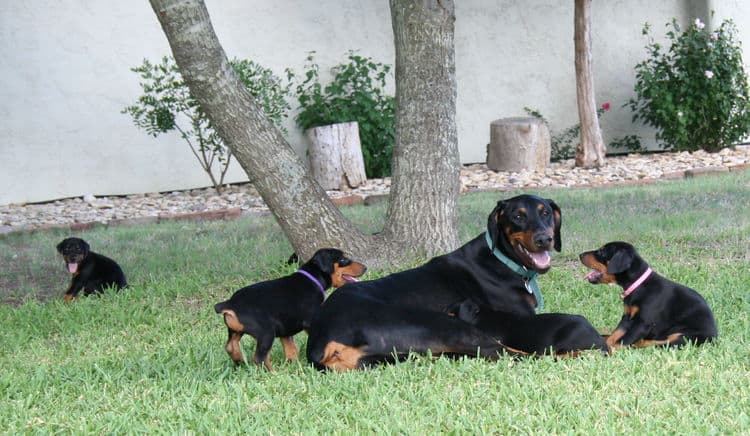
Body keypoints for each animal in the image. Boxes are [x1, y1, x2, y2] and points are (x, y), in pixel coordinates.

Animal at [214, 250, 368, 370]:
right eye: (343, 259)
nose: (365, 267)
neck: (312, 279)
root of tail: (230, 303)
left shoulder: (285, 330)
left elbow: (291, 350)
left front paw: (293, 365)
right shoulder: (310, 321)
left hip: (235, 330)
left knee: (231, 346)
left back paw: (239, 361)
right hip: (266, 332)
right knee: (260, 357)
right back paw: (272, 373)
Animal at [306, 196, 564, 370]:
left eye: (545, 213)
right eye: (517, 216)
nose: (545, 239)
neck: (502, 258)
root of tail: (323, 338)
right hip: (442, 326)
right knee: (508, 352)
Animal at [580, 240, 720, 350]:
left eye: (602, 252)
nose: (580, 255)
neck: (638, 285)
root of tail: (714, 338)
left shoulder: (642, 323)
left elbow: (621, 342)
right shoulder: (627, 318)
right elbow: (615, 335)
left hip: (683, 337)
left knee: (659, 344)